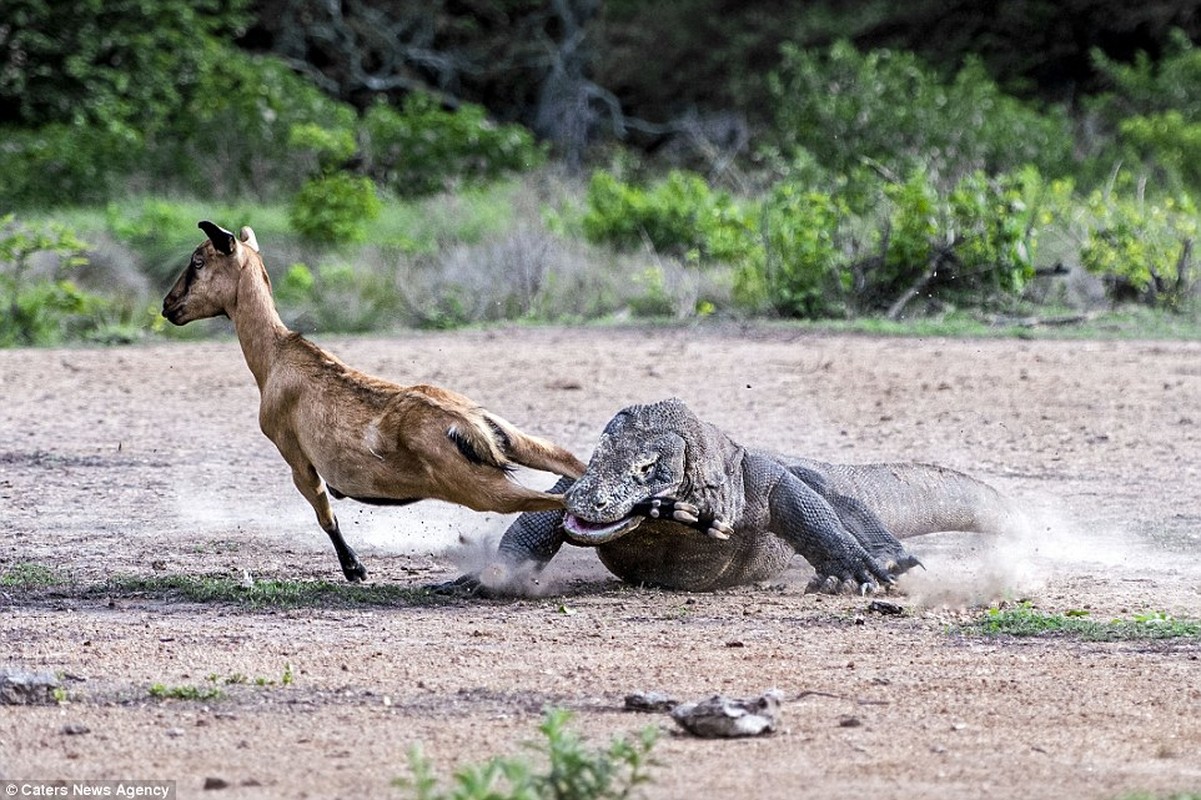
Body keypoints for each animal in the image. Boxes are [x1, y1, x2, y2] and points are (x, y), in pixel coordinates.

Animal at [162, 218, 588, 578]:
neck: (276, 357)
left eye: (198, 260)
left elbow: (324, 512)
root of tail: (469, 425)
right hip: (513, 441)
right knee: (569, 463)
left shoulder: (295, 455)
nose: (168, 305)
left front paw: (355, 569)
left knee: (565, 500)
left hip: (482, 490)